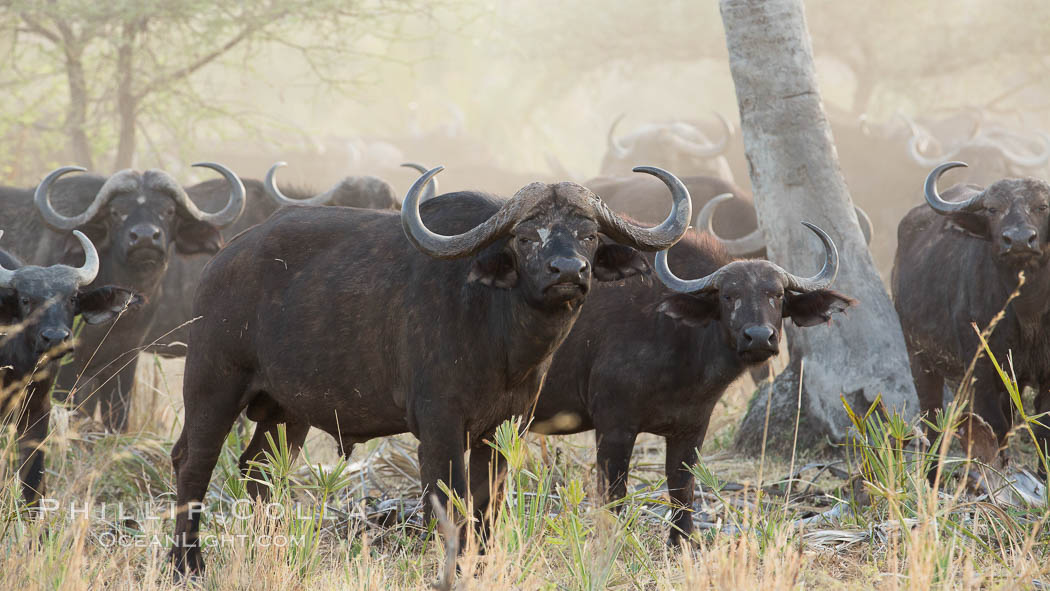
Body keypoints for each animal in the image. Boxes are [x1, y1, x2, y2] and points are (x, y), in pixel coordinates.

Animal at [0, 163, 243, 432]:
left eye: (168, 211)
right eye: (117, 212)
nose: (145, 237)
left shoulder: (125, 360)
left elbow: (118, 418)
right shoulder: (67, 369)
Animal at [168, 165, 692, 575]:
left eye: (589, 235)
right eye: (525, 237)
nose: (567, 271)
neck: (500, 334)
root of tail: (222, 260)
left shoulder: (504, 430)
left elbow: (486, 508)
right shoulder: (439, 428)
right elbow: (450, 505)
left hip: (286, 412)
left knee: (259, 471)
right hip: (213, 385)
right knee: (193, 462)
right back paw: (187, 564)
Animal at [533, 222, 852, 545]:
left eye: (776, 294)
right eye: (728, 295)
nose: (760, 337)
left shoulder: (692, 429)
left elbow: (682, 488)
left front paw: (682, 541)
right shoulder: (614, 427)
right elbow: (614, 494)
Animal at [890, 161, 1050, 457]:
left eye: (1042, 206)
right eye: (993, 209)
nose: (1019, 240)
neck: (1028, 311)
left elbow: (1043, 431)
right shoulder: (980, 371)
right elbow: (993, 428)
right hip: (920, 359)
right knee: (933, 422)